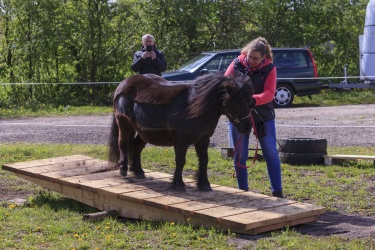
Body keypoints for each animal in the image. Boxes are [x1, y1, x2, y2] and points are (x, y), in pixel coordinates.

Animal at [108, 73, 256, 191]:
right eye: (236, 103)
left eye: (250, 102)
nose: (247, 127)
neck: (194, 107)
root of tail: (124, 83)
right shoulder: (181, 141)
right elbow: (180, 161)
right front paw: (178, 184)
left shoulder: (203, 140)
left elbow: (204, 160)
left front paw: (204, 184)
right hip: (124, 124)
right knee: (122, 143)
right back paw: (123, 169)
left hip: (143, 132)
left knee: (136, 146)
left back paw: (138, 171)